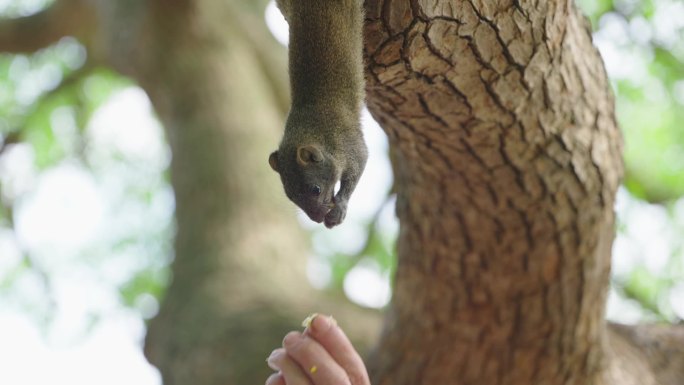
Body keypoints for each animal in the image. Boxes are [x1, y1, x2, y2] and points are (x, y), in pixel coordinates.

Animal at [268, 0, 368, 228]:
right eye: (290, 196)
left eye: (316, 189)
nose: (317, 219)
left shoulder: (351, 144)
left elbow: (357, 168)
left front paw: (339, 208)